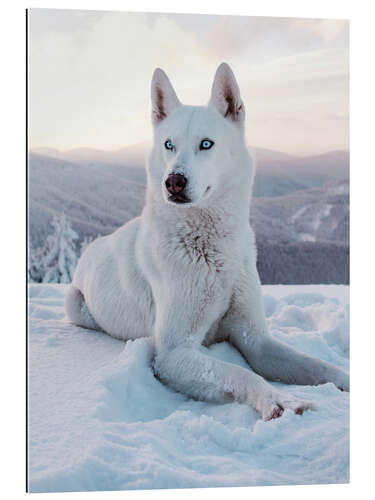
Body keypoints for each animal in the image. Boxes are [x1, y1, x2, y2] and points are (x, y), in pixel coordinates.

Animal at [64, 63, 350, 422]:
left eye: (206, 144)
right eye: (169, 145)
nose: (173, 181)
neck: (212, 250)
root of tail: (94, 245)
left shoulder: (256, 339)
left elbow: (317, 365)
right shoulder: (174, 354)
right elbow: (241, 373)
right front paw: (280, 400)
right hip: (74, 304)